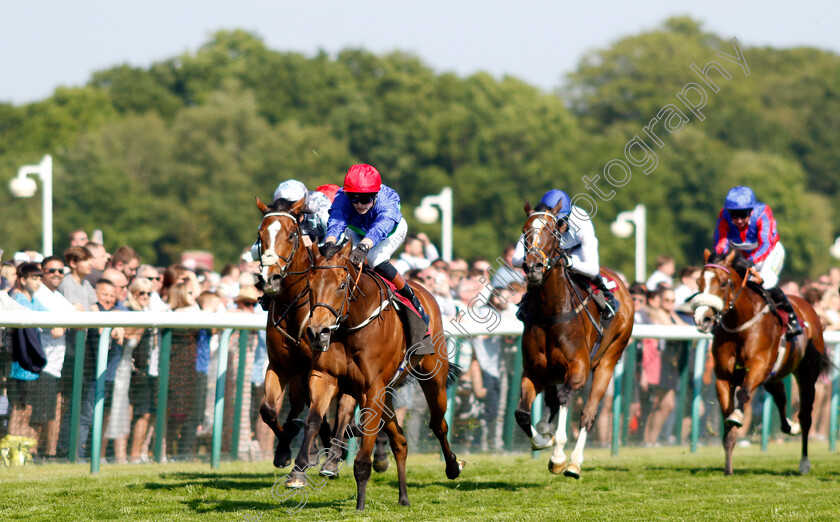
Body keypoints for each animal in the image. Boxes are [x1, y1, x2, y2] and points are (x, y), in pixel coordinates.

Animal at [286, 240, 462, 508]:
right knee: (400, 441)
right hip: (385, 395)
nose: (318, 332)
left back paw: (453, 466)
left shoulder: (374, 389)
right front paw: (298, 472)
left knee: (438, 424)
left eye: (342, 285)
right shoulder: (325, 377)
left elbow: (365, 443)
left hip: (433, 378)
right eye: (310, 285)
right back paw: (403, 497)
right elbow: (313, 419)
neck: (350, 327)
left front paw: (360, 505)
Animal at [516, 201, 632, 478]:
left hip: (609, 359)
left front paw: (558, 456)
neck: (550, 312)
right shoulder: (533, 371)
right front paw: (542, 439)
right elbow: (522, 414)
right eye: (524, 233)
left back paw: (574, 463)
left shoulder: (578, 369)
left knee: (588, 414)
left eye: (552, 232)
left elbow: (565, 399)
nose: (533, 267)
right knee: (549, 401)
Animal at [688, 250, 828, 474]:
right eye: (698, 282)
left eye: (723, 283)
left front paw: (737, 415)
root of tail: (808, 305)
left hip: (807, 375)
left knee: (806, 416)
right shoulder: (723, 377)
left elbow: (743, 395)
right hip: (773, 377)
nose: (703, 319)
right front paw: (728, 467)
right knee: (781, 397)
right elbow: (727, 421)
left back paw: (804, 462)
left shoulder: (758, 366)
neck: (740, 325)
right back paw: (790, 427)